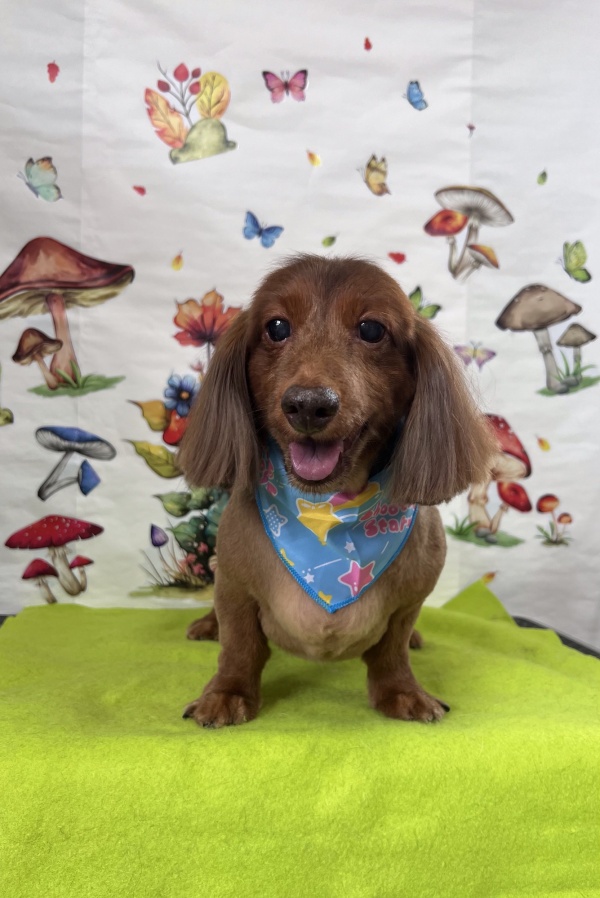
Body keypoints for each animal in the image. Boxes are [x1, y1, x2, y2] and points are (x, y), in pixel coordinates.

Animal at [178, 255, 497, 728]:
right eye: (276, 326)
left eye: (372, 329)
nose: (309, 405)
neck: (328, 511)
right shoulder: (234, 589)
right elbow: (240, 646)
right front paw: (226, 693)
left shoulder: (410, 602)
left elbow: (391, 650)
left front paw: (402, 692)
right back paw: (206, 625)